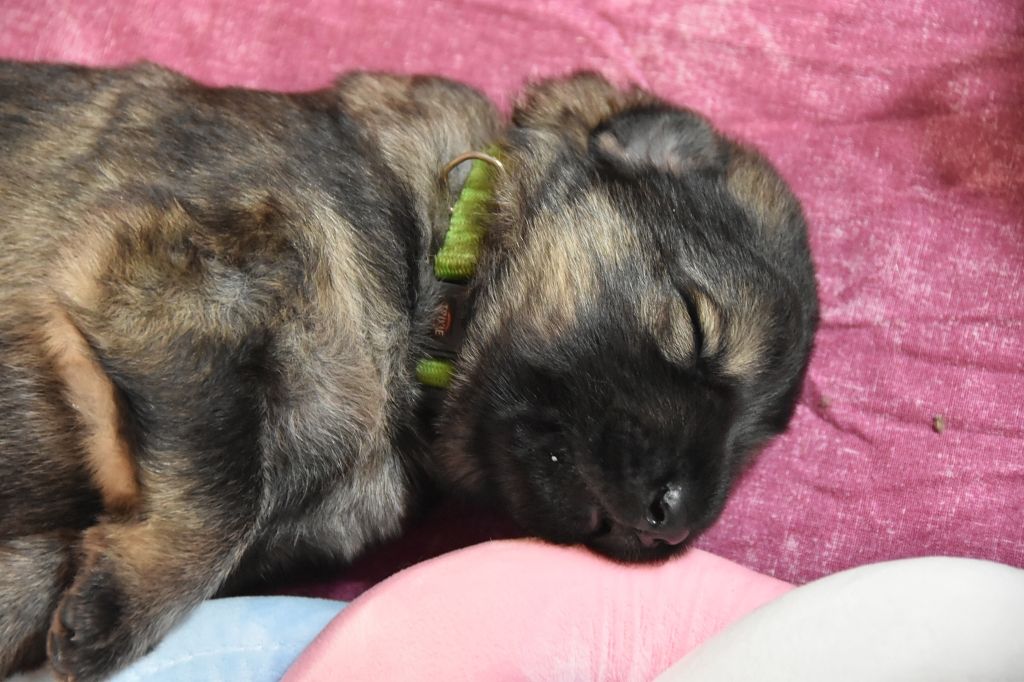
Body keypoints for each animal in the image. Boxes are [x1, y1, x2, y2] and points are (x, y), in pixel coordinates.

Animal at [0, 61, 818, 679]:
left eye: (748, 450)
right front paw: (124, 607)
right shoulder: (173, 277)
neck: (433, 270)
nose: (673, 522)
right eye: (694, 326)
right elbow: (228, 481)